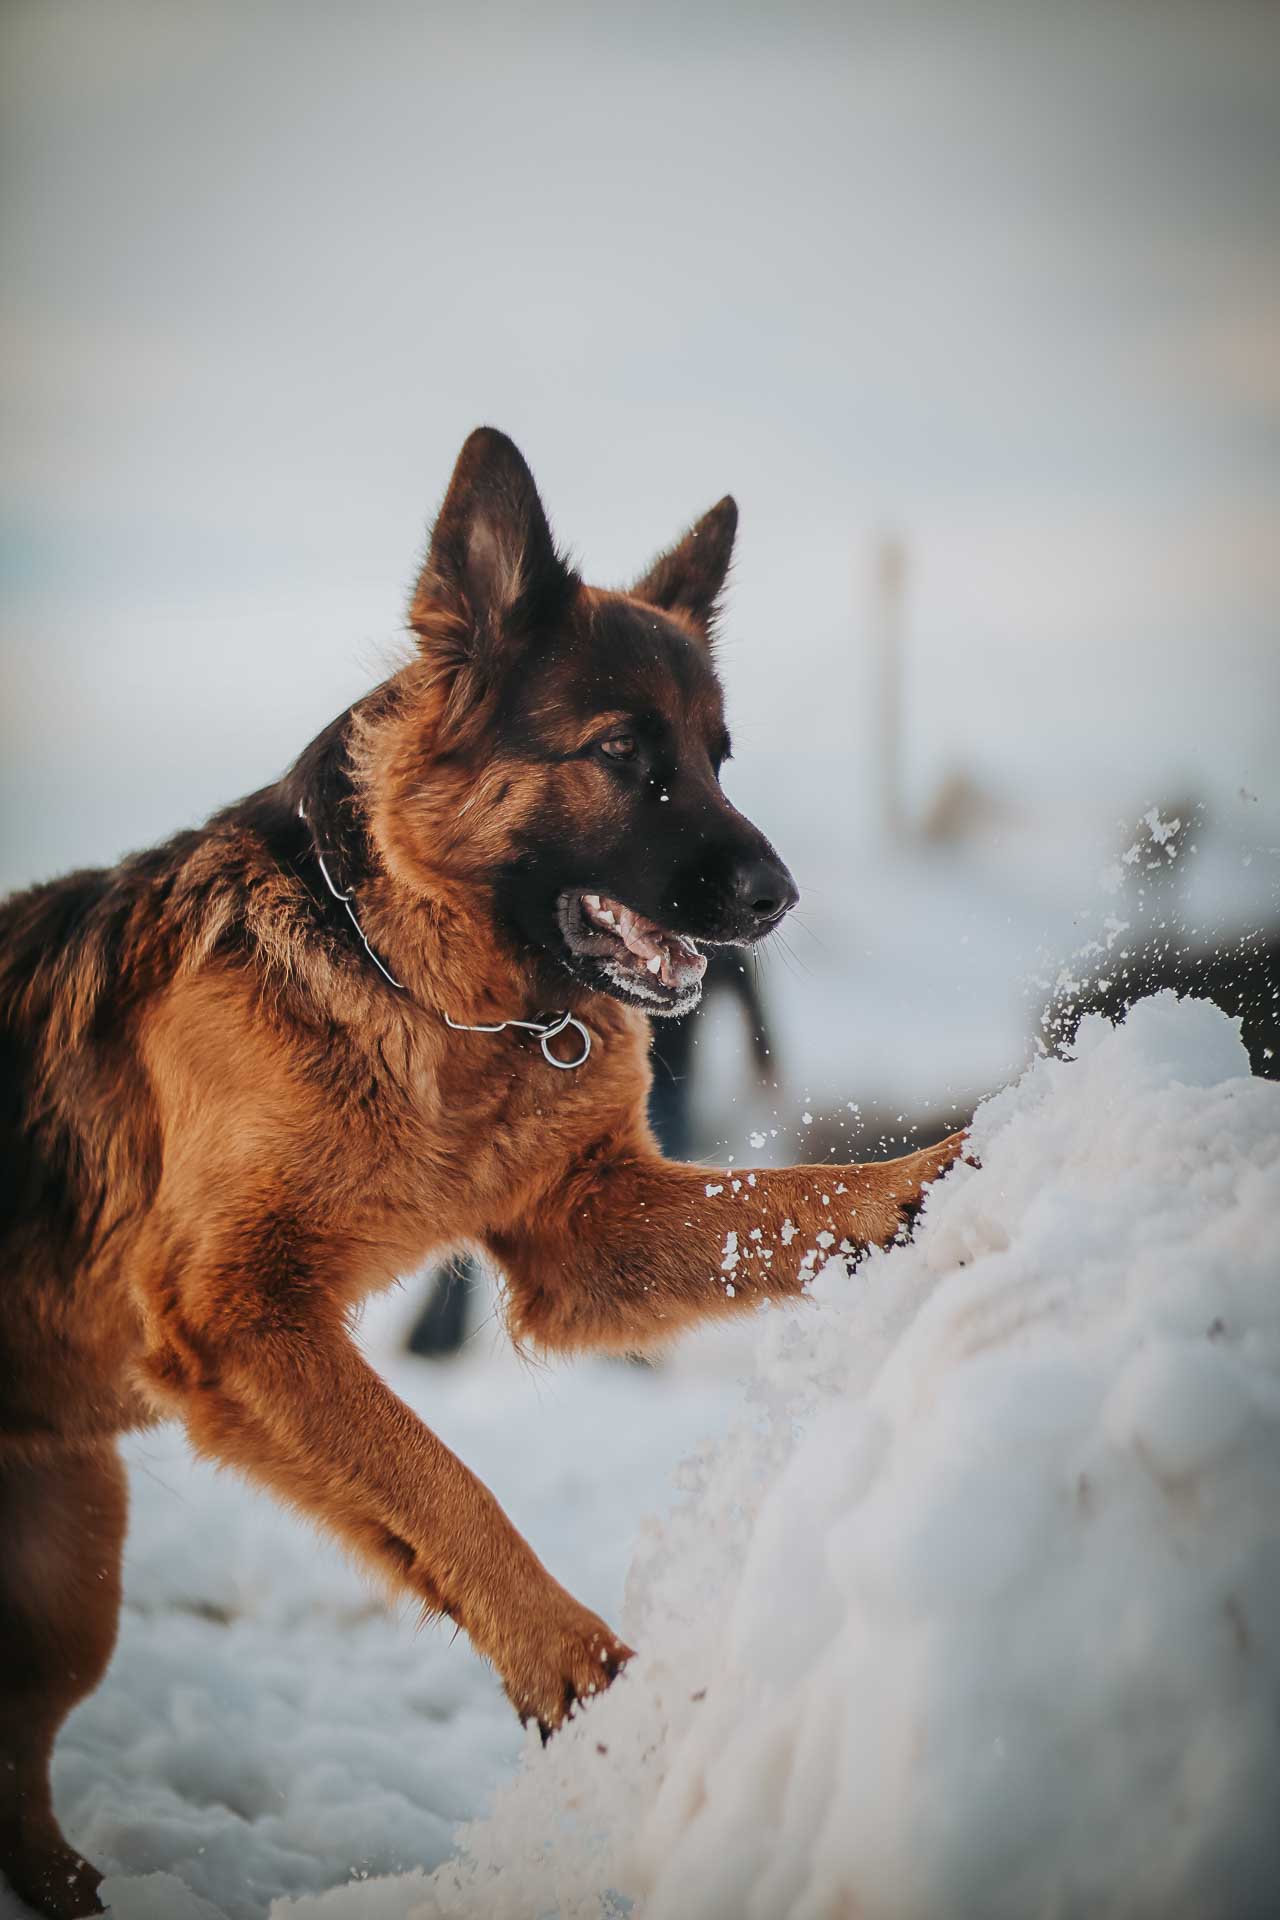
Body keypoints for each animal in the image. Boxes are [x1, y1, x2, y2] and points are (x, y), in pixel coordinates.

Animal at [0, 428, 959, 1912]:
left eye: (719, 756)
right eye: (622, 754)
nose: (776, 900)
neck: (432, 987)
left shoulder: (584, 1233)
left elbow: (794, 1205)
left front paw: (958, 1164)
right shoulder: (240, 1315)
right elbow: (439, 1479)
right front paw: (583, 1674)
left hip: (68, 1570)